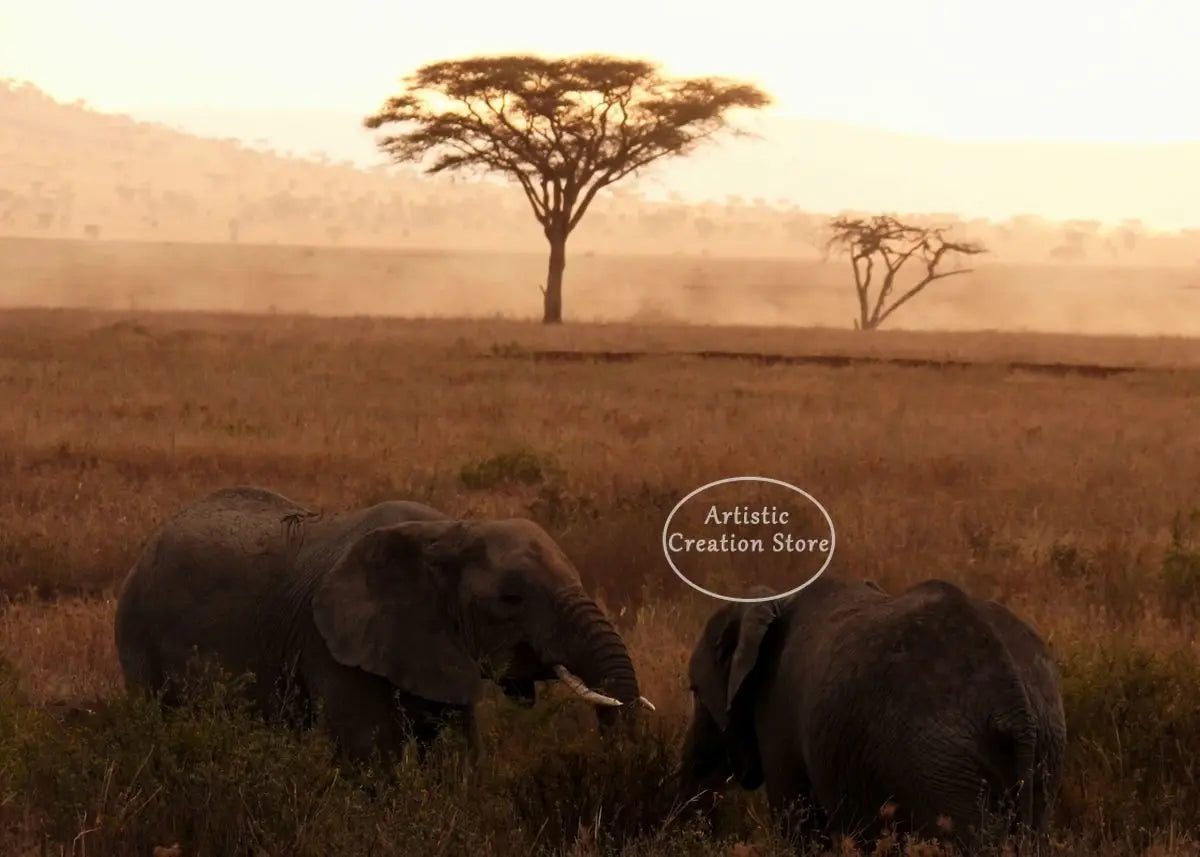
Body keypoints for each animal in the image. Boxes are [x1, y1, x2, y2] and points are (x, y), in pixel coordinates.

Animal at [114, 486, 654, 768]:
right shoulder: (331, 645)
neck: (447, 532)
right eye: (511, 599)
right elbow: (372, 756)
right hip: (137, 634)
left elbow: (457, 746)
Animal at [678, 576, 1066, 852]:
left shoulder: (776, 711)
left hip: (938, 763)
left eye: (695, 692)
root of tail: (1013, 702)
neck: (773, 599)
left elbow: (799, 826)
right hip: (1042, 749)